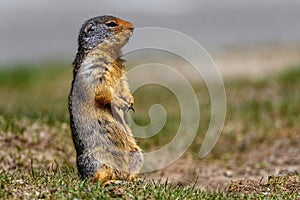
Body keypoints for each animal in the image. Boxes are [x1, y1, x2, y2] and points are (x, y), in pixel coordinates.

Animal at [68, 14, 143, 185]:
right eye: (111, 24)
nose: (133, 26)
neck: (111, 54)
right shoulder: (92, 68)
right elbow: (102, 90)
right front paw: (120, 102)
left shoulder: (121, 72)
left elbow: (123, 86)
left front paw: (130, 100)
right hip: (97, 161)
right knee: (95, 179)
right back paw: (109, 182)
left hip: (137, 154)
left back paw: (134, 179)